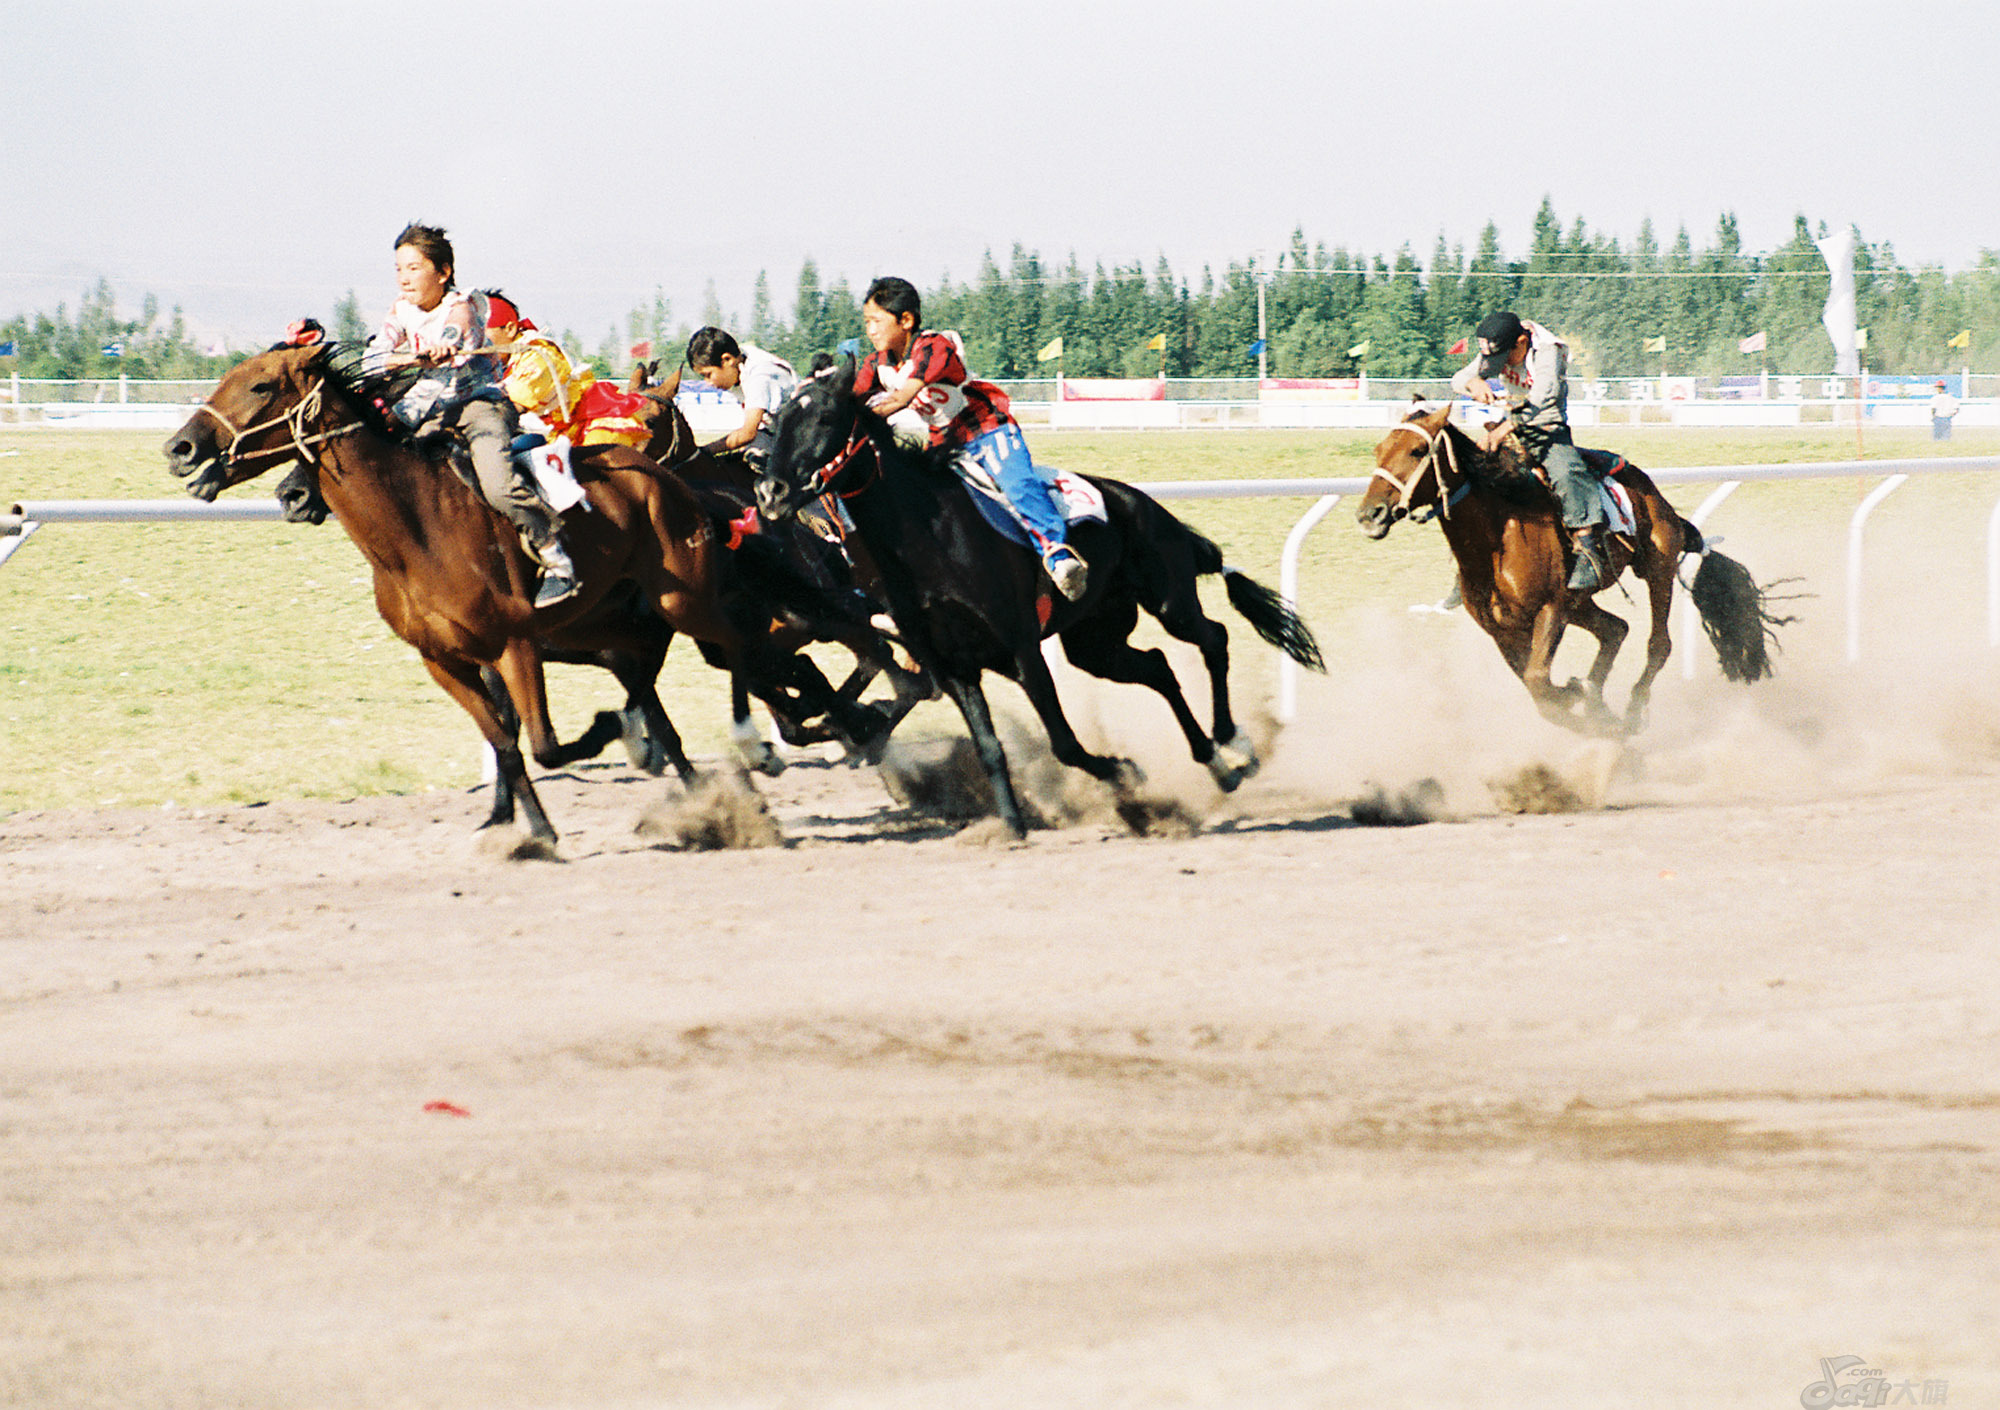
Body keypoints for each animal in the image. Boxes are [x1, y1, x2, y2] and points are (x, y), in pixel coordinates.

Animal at [166, 340, 892, 840]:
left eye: (260, 385)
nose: (180, 448)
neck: (414, 528)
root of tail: (673, 483)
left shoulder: (517, 641)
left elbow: (541, 740)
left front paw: (606, 736)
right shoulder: (447, 659)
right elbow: (508, 742)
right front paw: (529, 827)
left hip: (685, 599)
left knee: (768, 654)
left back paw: (805, 733)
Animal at [756, 360, 1320, 836]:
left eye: (825, 415)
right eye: (779, 418)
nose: (771, 493)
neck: (927, 537)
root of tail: (1143, 503)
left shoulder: (1021, 646)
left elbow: (1064, 742)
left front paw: (1123, 773)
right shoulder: (954, 665)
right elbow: (989, 747)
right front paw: (1012, 826)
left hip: (1169, 598)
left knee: (1213, 639)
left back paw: (1234, 742)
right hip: (1094, 640)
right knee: (1159, 666)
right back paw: (1217, 764)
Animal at [1352, 402, 1792, 736]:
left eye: (1415, 451)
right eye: (1377, 450)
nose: (1370, 514)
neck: (1498, 534)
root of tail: (1656, 495)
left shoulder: (1551, 608)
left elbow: (1539, 682)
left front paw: (1582, 700)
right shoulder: (1502, 629)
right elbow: (1537, 689)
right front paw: (1586, 704)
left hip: (1655, 566)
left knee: (1658, 644)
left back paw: (1631, 709)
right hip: (1582, 601)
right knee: (1616, 629)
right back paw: (1599, 697)